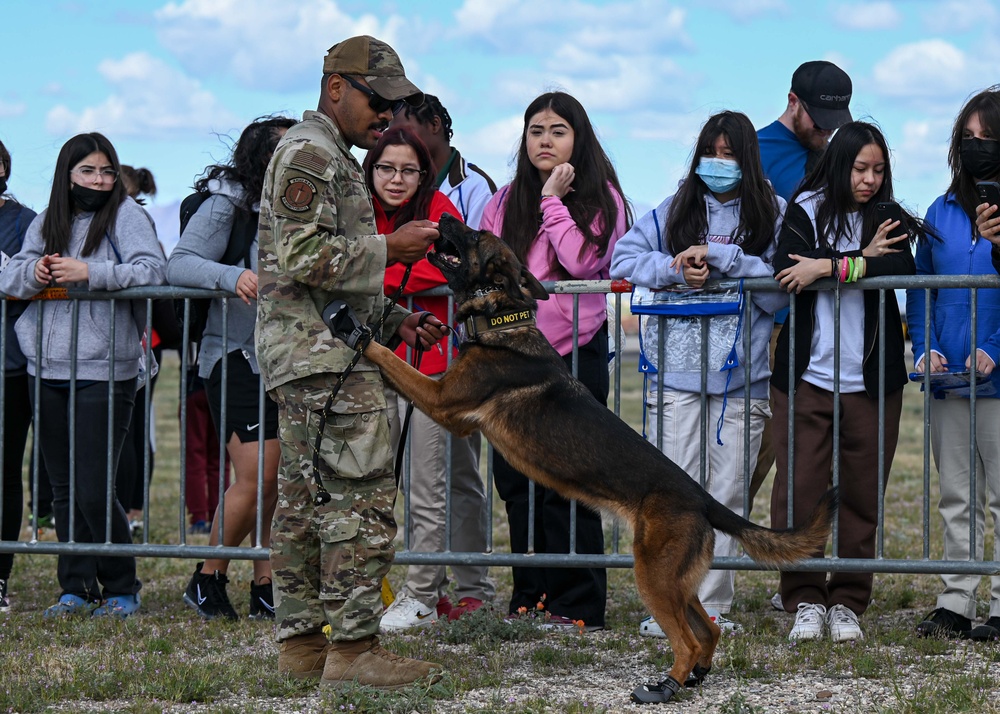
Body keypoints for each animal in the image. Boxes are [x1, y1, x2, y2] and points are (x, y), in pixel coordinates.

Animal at [354, 211, 836, 700]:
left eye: (475, 236)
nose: (443, 217)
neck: (503, 320)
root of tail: (704, 499)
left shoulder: (440, 401)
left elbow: (393, 361)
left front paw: (355, 332)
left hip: (653, 577)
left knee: (685, 638)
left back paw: (665, 685)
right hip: (676, 581)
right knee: (709, 630)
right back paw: (695, 675)